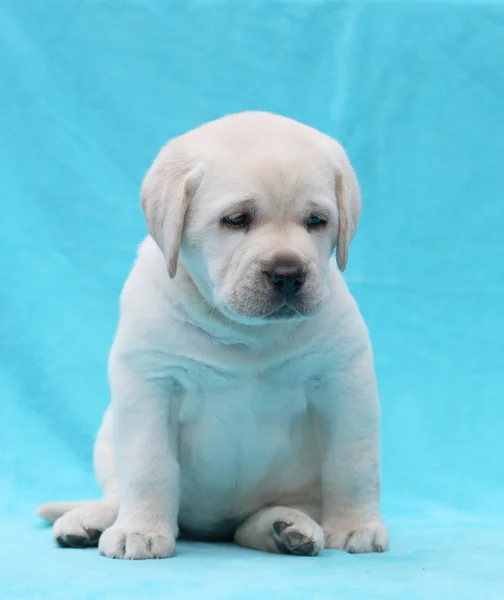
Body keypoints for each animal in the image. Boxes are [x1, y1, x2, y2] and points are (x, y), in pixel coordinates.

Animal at [37, 111, 390, 556]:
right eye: (236, 220)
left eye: (316, 221)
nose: (288, 274)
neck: (244, 332)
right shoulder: (150, 383)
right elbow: (149, 466)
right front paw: (140, 531)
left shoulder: (345, 382)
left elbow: (354, 464)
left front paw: (357, 525)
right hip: (108, 430)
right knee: (118, 493)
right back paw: (91, 520)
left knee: (253, 525)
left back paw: (287, 528)